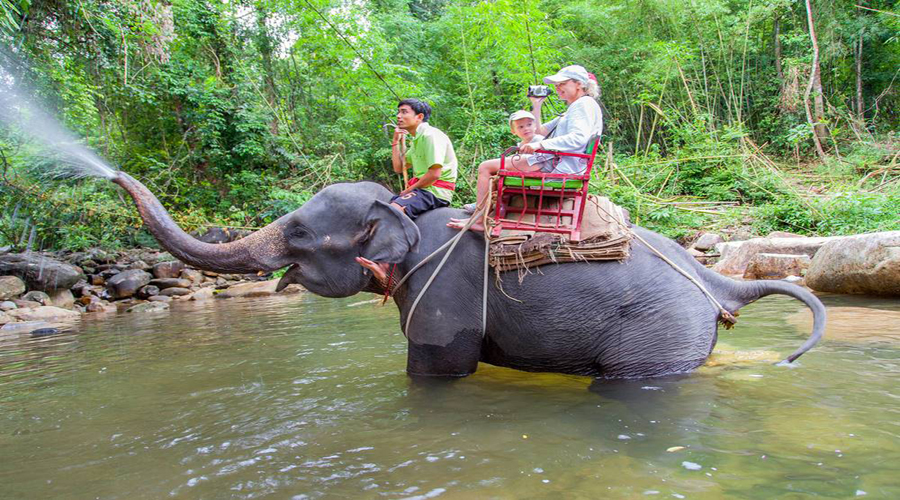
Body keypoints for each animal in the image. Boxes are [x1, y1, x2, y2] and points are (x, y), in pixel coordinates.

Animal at [110, 173, 824, 378]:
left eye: (301, 234)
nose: (111, 173)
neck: (403, 210)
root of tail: (719, 282)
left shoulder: (442, 290)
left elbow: (441, 366)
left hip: (658, 336)